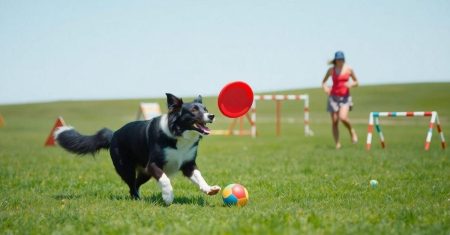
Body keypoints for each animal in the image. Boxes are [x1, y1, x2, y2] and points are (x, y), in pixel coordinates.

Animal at [55, 94, 221, 206]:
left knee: (136, 183)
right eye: (193, 110)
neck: (179, 135)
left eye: (205, 109)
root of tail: (113, 134)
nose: (211, 115)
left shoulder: (188, 163)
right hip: (126, 167)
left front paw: (209, 189)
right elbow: (165, 179)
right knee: (131, 185)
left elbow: (199, 176)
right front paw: (168, 197)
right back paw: (137, 199)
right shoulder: (153, 164)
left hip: (144, 172)